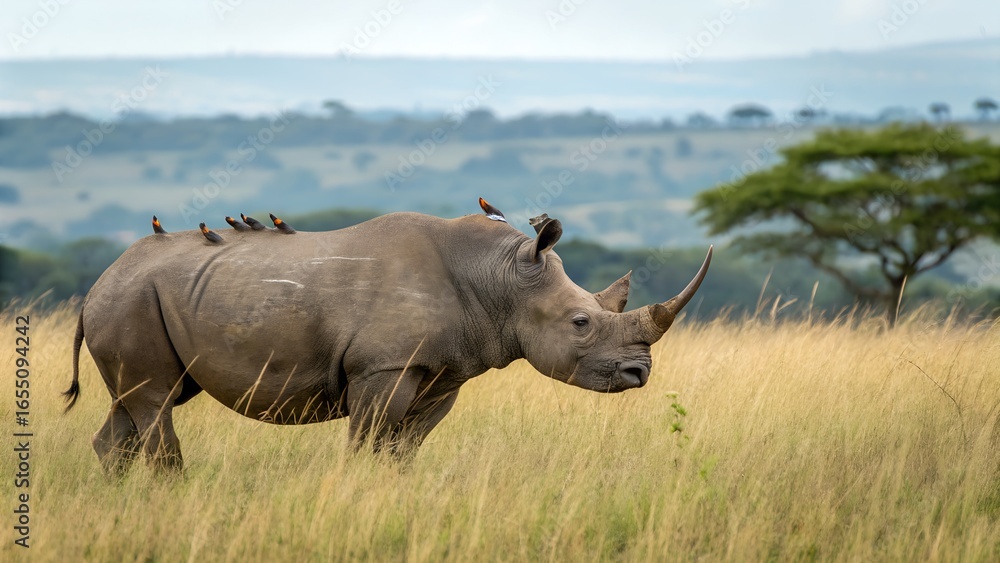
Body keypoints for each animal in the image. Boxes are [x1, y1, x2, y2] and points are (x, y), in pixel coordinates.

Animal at [64, 200, 711, 473]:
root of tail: (96, 284)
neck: (501, 277)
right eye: (581, 322)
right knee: (154, 400)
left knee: (140, 400)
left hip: (141, 299)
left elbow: (403, 449)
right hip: (130, 301)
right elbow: (366, 442)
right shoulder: (384, 367)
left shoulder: (443, 373)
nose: (639, 373)